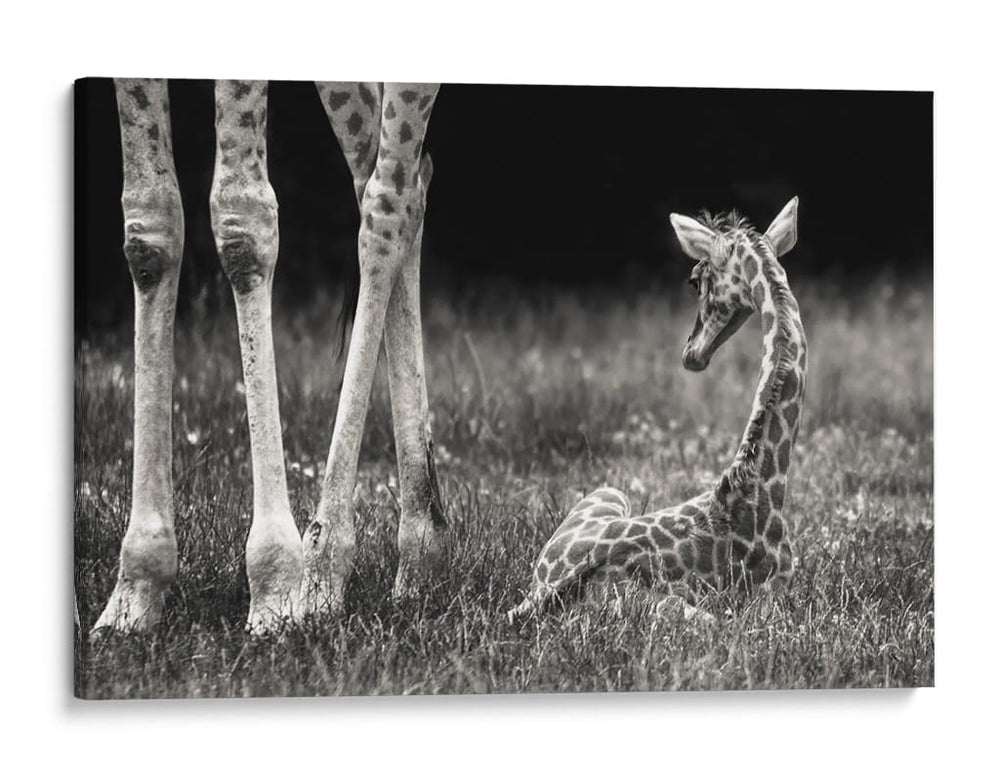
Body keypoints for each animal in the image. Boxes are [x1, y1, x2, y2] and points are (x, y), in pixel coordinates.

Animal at [91, 80, 446, 634]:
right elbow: (148, 227)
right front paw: (135, 592)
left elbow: (242, 222)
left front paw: (275, 582)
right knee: (393, 173)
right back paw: (416, 557)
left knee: (389, 197)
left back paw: (324, 567)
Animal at [508, 197, 806, 621]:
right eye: (693, 280)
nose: (691, 352)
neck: (755, 485)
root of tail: (542, 594)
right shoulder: (777, 594)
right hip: (684, 611)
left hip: (606, 495)